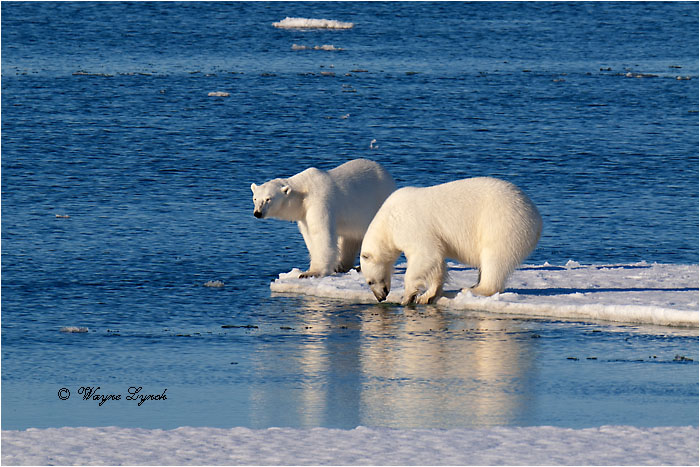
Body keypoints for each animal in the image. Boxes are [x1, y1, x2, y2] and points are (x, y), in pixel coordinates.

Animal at [251, 159, 396, 278]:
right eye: (255, 198)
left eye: (268, 199)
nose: (257, 213)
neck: (304, 190)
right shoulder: (304, 213)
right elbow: (310, 236)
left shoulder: (319, 201)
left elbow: (320, 233)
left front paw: (311, 273)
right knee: (350, 238)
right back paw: (341, 265)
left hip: (380, 200)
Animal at [360, 177, 542, 305]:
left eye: (370, 281)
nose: (380, 297)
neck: (388, 221)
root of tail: (537, 219)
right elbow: (437, 263)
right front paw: (427, 295)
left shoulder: (412, 226)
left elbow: (425, 255)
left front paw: (408, 296)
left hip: (502, 224)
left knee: (494, 258)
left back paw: (474, 288)